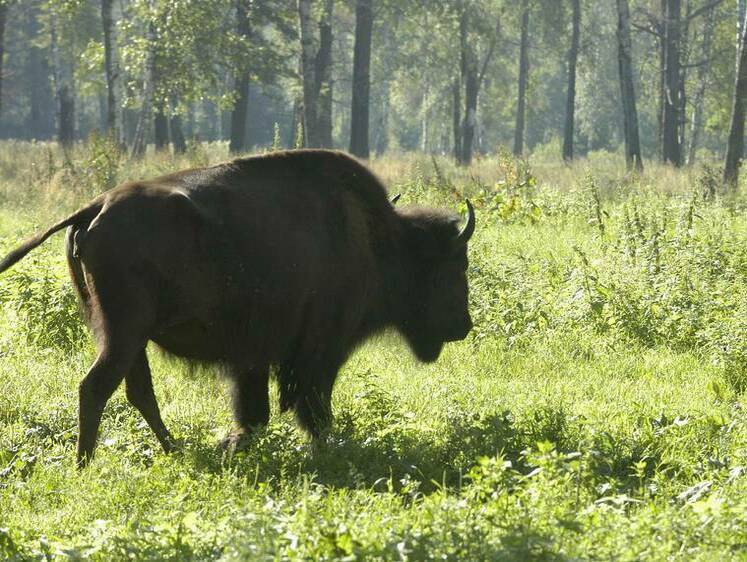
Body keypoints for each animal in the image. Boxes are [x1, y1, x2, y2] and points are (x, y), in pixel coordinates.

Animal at [0, 148, 476, 464]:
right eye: (456, 267)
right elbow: (310, 406)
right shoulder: (318, 352)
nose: (463, 327)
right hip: (124, 332)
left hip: (123, 334)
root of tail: (96, 206)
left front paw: (231, 444)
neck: (376, 239)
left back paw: (175, 450)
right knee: (97, 387)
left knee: (137, 391)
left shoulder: (254, 357)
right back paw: (86, 463)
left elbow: (256, 410)